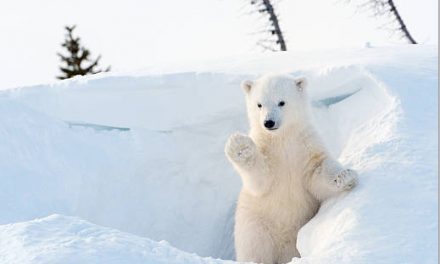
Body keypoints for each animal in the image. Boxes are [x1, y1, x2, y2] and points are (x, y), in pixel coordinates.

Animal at [225, 73, 356, 262]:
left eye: (281, 102)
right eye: (259, 104)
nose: (268, 122)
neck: (283, 139)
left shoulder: (305, 146)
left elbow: (317, 171)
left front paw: (345, 176)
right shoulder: (267, 152)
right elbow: (260, 180)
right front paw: (240, 146)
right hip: (255, 225)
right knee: (256, 250)